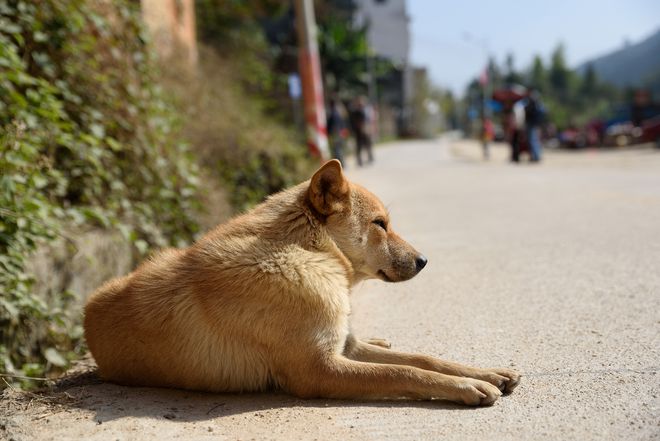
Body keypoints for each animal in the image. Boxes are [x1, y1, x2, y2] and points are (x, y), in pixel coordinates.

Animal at [82, 160, 520, 404]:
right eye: (380, 224)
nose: (424, 261)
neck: (308, 251)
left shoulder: (344, 348)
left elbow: (425, 360)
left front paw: (483, 372)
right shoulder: (321, 370)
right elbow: (405, 374)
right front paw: (466, 386)